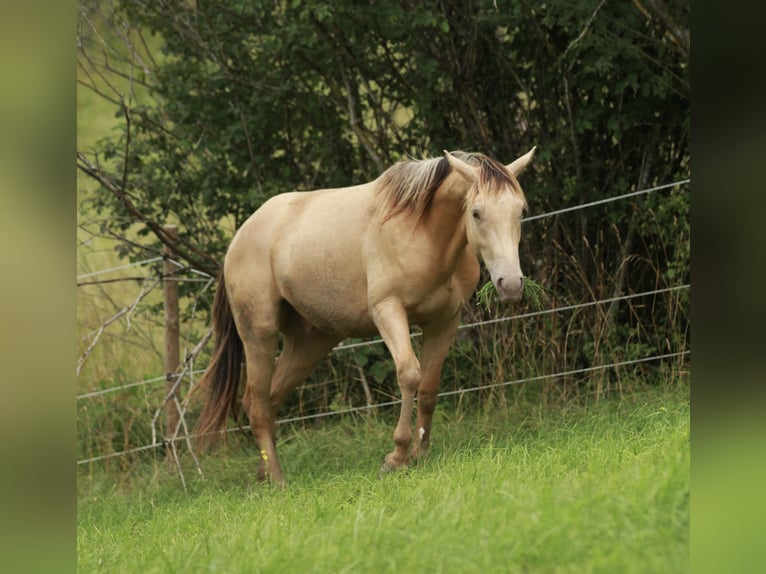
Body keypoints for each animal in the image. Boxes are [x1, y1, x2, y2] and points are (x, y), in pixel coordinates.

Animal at [195, 148, 536, 486]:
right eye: (476, 212)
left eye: (520, 211)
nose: (510, 284)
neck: (423, 232)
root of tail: (238, 240)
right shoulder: (388, 311)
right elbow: (409, 374)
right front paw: (396, 457)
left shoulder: (444, 321)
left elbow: (428, 387)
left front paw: (421, 454)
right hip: (258, 335)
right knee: (259, 407)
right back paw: (278, 480)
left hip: (310, 344)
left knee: (266, 399)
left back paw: (264, 472)